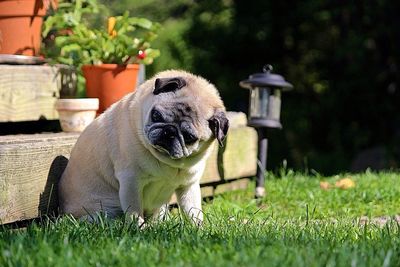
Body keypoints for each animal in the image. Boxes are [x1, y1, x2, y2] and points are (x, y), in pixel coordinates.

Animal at [57, 69, 230, 226]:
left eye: (189, 137)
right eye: (156, 115)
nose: (169, 131)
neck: (167, 162)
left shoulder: (189, 186)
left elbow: (193, 210)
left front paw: (198, 229)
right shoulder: (131, 181)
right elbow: (134, 210)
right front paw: (139, 228)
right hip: (102, 212)